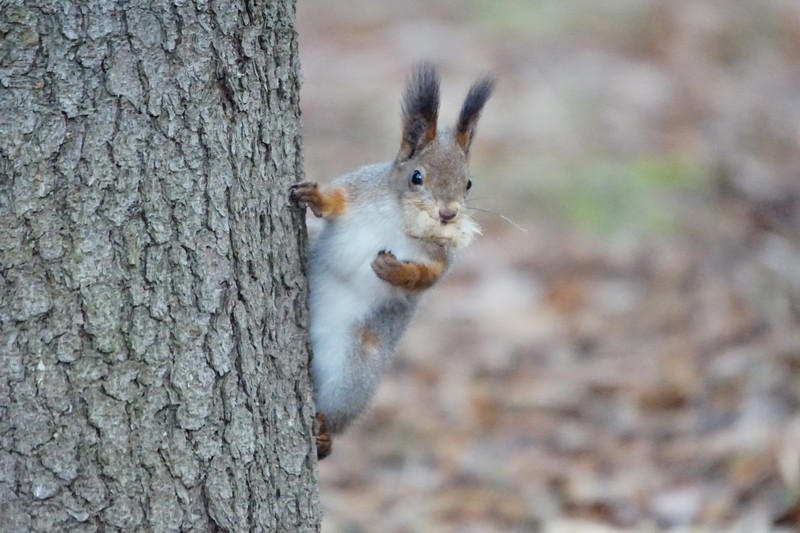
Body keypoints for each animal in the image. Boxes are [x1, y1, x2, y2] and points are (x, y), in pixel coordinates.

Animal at [290, 64, 490, 460]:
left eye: (468, 183)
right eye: (417, 176)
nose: (448, 214)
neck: (401, 218)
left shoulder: (442, 257)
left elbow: (429, 276)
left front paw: (395, 270)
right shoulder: (359, 189)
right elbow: (336, 198)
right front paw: (313, 195)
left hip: (353, 374)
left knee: (338, 413)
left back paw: (324, 433)